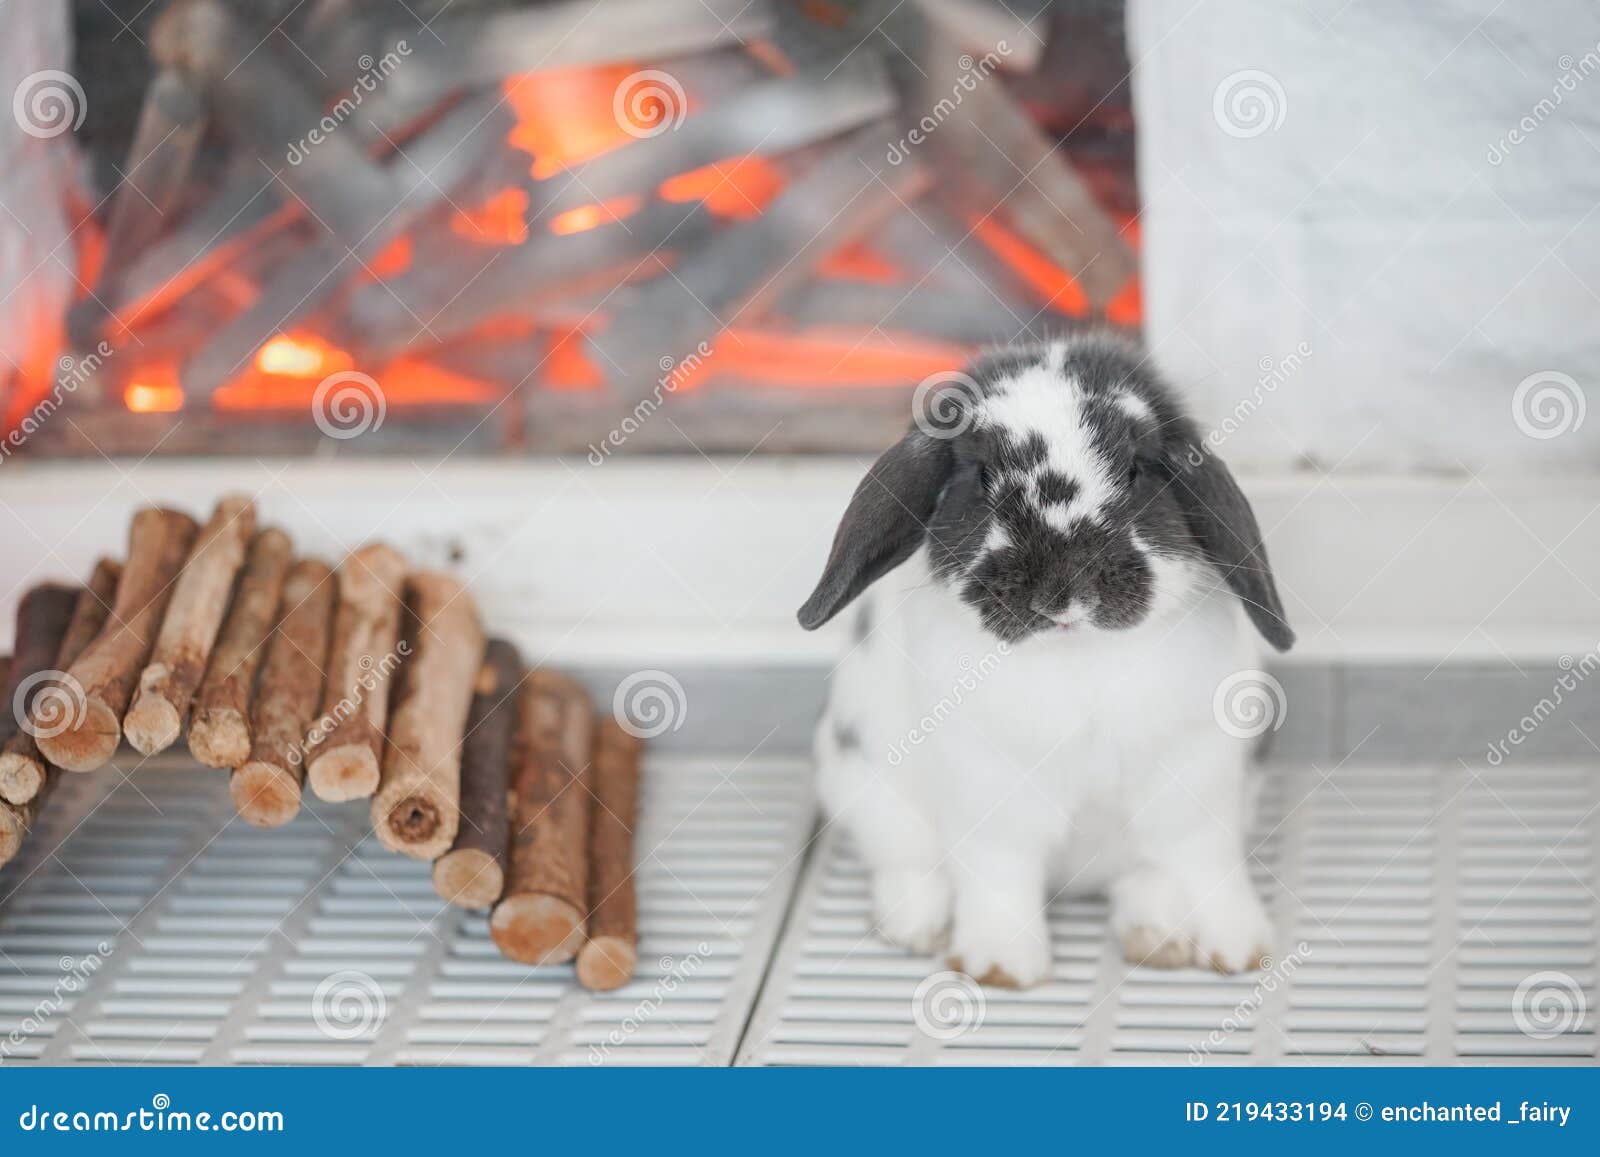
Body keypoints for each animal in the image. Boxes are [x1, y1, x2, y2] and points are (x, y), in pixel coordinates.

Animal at [796, 334, 1295, 988]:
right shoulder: (991, 797)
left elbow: (1205, 861)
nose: (1063, 589)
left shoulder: (1197, 783)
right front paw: (1002, 967)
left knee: (1143, 878)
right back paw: (915, 928)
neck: (1075, 655)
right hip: (864, 788)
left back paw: (1158, 938)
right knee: (909, 864)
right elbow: (999, 875)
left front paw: (1240, 948)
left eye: (1135, 469)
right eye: (981, 475)